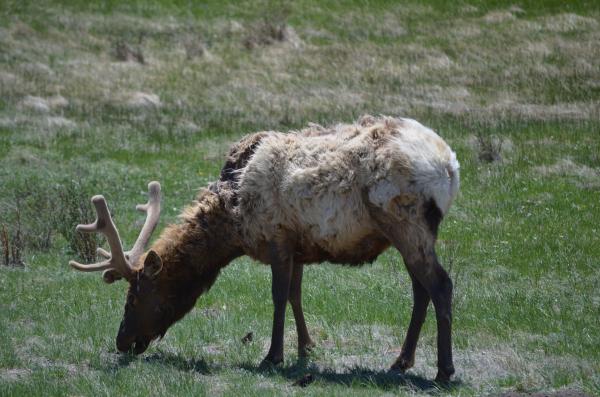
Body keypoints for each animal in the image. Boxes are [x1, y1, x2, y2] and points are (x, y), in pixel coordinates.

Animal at [71, 114, 464, 380]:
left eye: (134, 298)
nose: (121, 341)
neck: (233, 221)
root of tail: (450, 166)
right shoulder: (299, 244)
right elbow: (295, 295)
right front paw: (305, 348)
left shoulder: (277, 236)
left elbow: (277, 296)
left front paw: (273, 356)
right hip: (408, 234)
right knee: (421, 290)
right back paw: (401, 361)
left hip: (405, 223)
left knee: (441, 284)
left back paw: (444, 370)